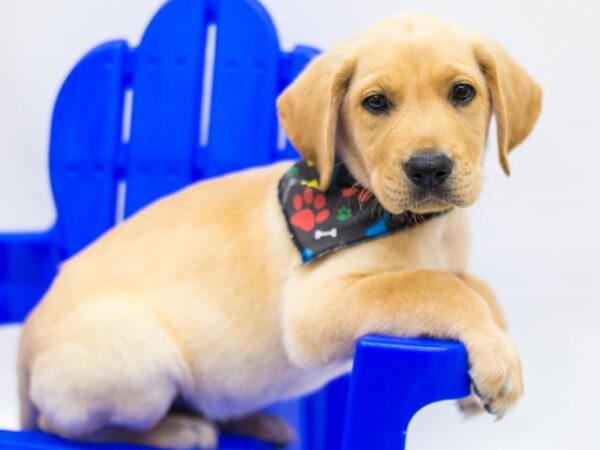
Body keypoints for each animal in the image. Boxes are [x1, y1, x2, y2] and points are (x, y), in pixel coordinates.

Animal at [19, 12, 540, 448]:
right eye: (375, 103)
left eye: (463, 93)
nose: (429, 168)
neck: (421, 226)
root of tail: (26, 342)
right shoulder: (316, 307)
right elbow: (432, 285)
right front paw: (499, 360)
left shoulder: (450, 264)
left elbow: (473, 286)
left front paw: (492, 348)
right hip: (139, 367)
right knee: (63, 425)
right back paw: (180, 430)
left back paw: (257, 423)